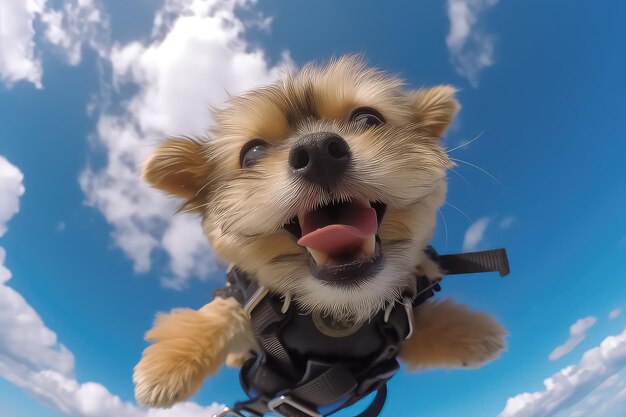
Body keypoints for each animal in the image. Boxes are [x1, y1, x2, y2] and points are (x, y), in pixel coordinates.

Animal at [133, 55, 508, 406]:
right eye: (252, 153)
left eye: (368, 119)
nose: (316, 151)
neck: (338, 307)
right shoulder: (244, 294)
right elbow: (221, 313)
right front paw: (168, 366)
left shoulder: (393, 338)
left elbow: (416, 327)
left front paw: (472, 333)